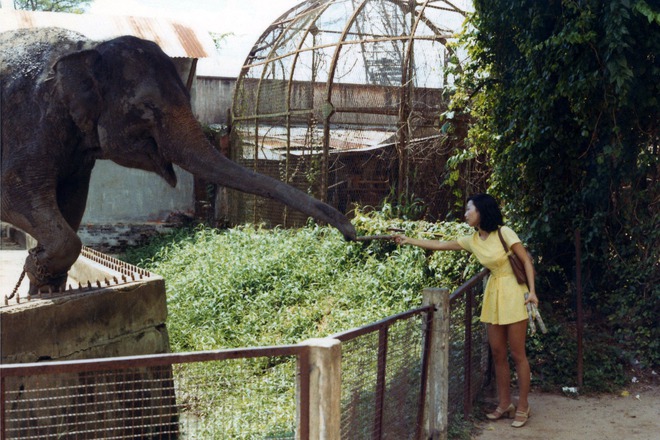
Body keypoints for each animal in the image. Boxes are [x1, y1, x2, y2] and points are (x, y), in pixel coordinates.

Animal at [1, 28, 356, 296]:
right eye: (146, 106)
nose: (354, 234)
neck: (89, 46)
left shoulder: (76, 153)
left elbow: (72, 202)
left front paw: (42, 283)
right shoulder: (28, 124)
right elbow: (13, 196)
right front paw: (35, 266)